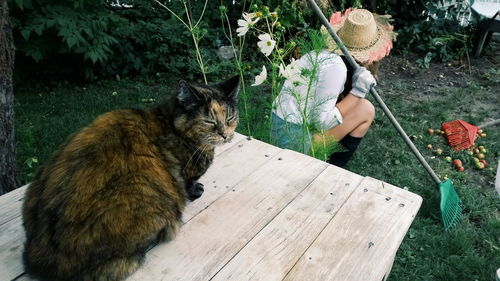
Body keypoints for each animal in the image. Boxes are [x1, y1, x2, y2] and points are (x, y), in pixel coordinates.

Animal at [23, 75, 240, 280]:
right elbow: (188, 184)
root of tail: (41, 258)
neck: (169, 123)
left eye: (230, 117)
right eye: (209, 121)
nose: (225, 134)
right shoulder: (186, 174)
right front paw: (196, 191)